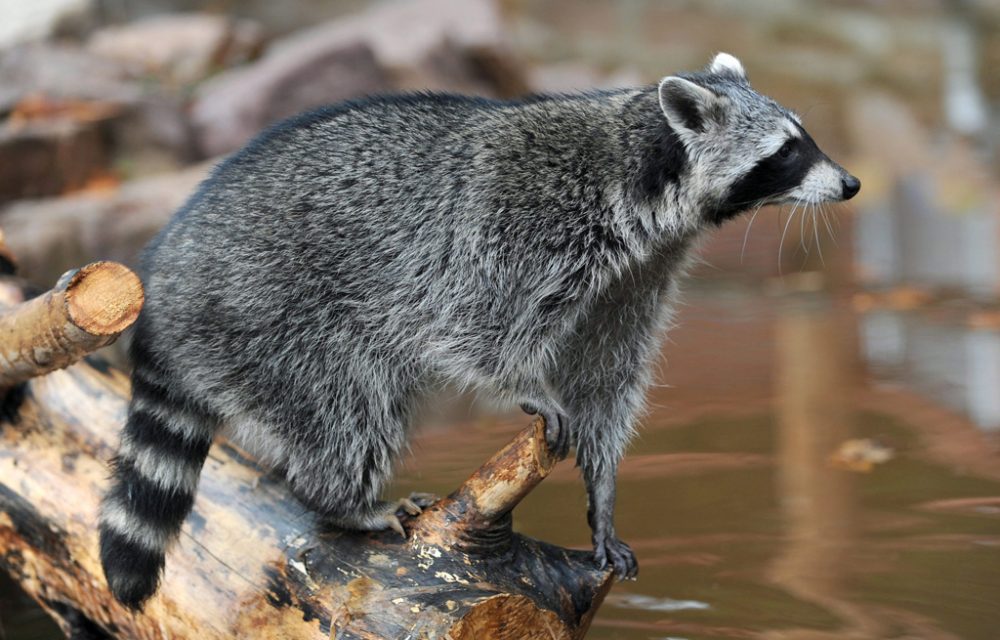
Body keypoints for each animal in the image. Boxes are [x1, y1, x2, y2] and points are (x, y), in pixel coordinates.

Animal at [97, 52, 856, 608]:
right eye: (787, 152)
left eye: (802, 137)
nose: (849, 185)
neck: (639, 167)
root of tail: (164, 278)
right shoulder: (517, 225)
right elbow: (475, 327)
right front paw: (528, 389)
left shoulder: (636, 276)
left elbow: (607, 377)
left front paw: (604, 489)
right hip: (269, 310)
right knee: (345, 405)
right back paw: (340, 499)